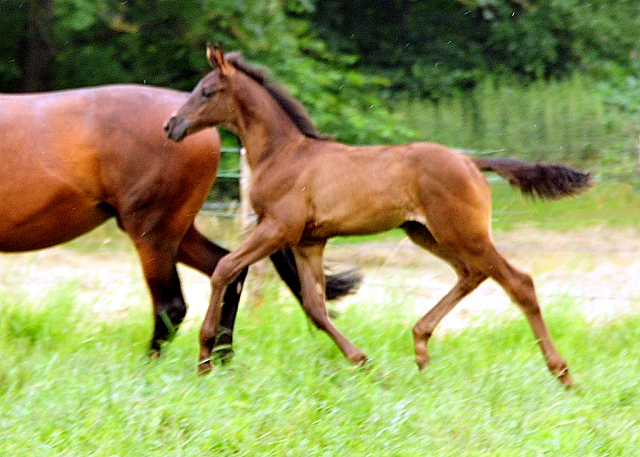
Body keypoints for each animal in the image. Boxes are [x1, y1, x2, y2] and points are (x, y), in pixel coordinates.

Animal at [165, 43, 592, 384]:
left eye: (207, 91)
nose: (172, 126)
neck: (284, 154)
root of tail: (470, 162)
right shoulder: (308, 242)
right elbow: (316, 307)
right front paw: (366, 364)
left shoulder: (277, 229)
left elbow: (224, 269)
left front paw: (204, 357)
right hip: (424, 232)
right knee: (471, 273)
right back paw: (421, 348)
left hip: (462, 233)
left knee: (519, 283)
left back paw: (562, 372)